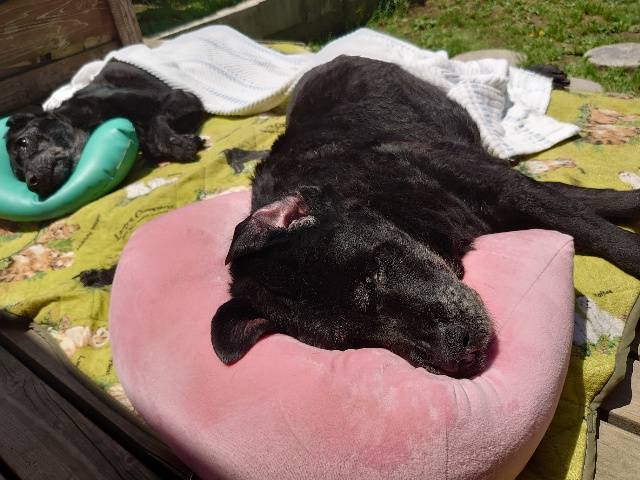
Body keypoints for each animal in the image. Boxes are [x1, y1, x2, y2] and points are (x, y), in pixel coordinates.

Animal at [4, 60, 205, 198]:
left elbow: (156, 120)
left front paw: (177, 145)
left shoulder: (182, 96)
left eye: (23, 142)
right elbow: (150, 144)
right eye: (19, 177)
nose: (32, 183)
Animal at [211, 55, 640, 378]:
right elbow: (592, 205)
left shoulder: (502, 184)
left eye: (375, 270)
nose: (460, 355)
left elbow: (598, 225)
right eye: (355, 340)